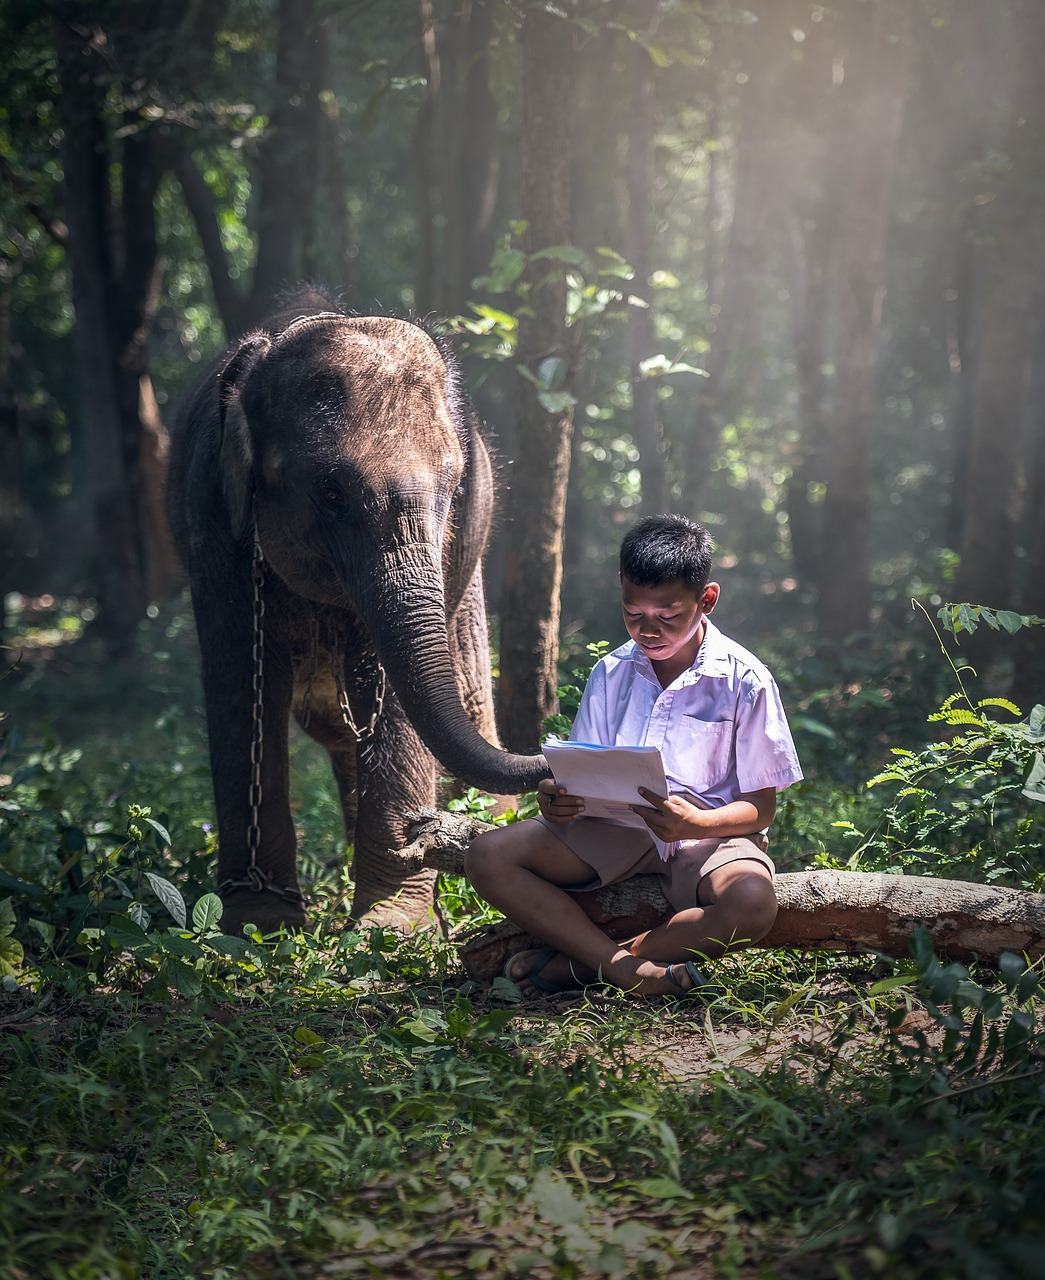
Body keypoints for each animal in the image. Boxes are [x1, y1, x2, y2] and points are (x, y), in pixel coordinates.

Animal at [166, 286, 550, 931]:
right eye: (330, 492)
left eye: (453, 487)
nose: (552, 765)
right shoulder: (211, 518)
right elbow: (242, 683)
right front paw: (256, 923)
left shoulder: (452, 544)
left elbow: (398, 699)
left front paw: (391, 926)